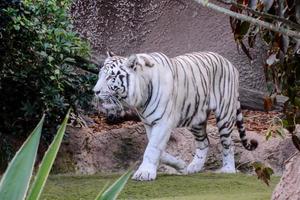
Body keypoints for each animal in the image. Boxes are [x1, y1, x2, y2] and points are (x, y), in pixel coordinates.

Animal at [93, 51, 258, 181]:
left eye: (110, 77)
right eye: (100, 75)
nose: (95, 91)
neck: (141, 93)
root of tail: (229, 63)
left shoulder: (162, 122)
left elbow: (152, 148)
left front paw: (144, 173)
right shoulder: (149, 123)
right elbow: (157, 149)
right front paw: (180, 165)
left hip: (224, 114)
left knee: (228, 144)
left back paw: (228, 170)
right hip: (196, 118)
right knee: (204, 142)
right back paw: (193, 167)